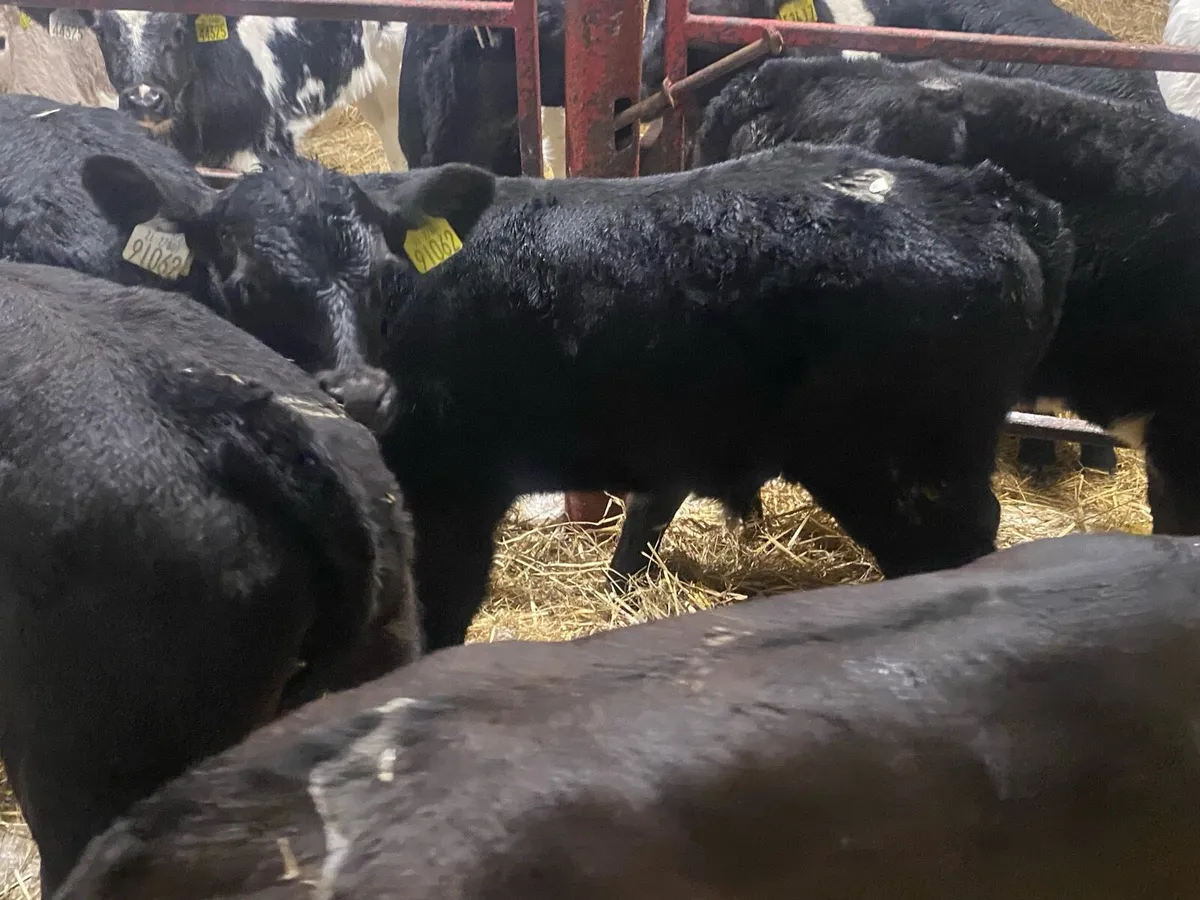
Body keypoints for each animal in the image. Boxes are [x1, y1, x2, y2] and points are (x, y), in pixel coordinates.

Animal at [82, 141, 1075, 649]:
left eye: (389, 281)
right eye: (246, 285)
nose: (361, 395)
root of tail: (985, 192)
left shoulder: (452, 496)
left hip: (906, 467)